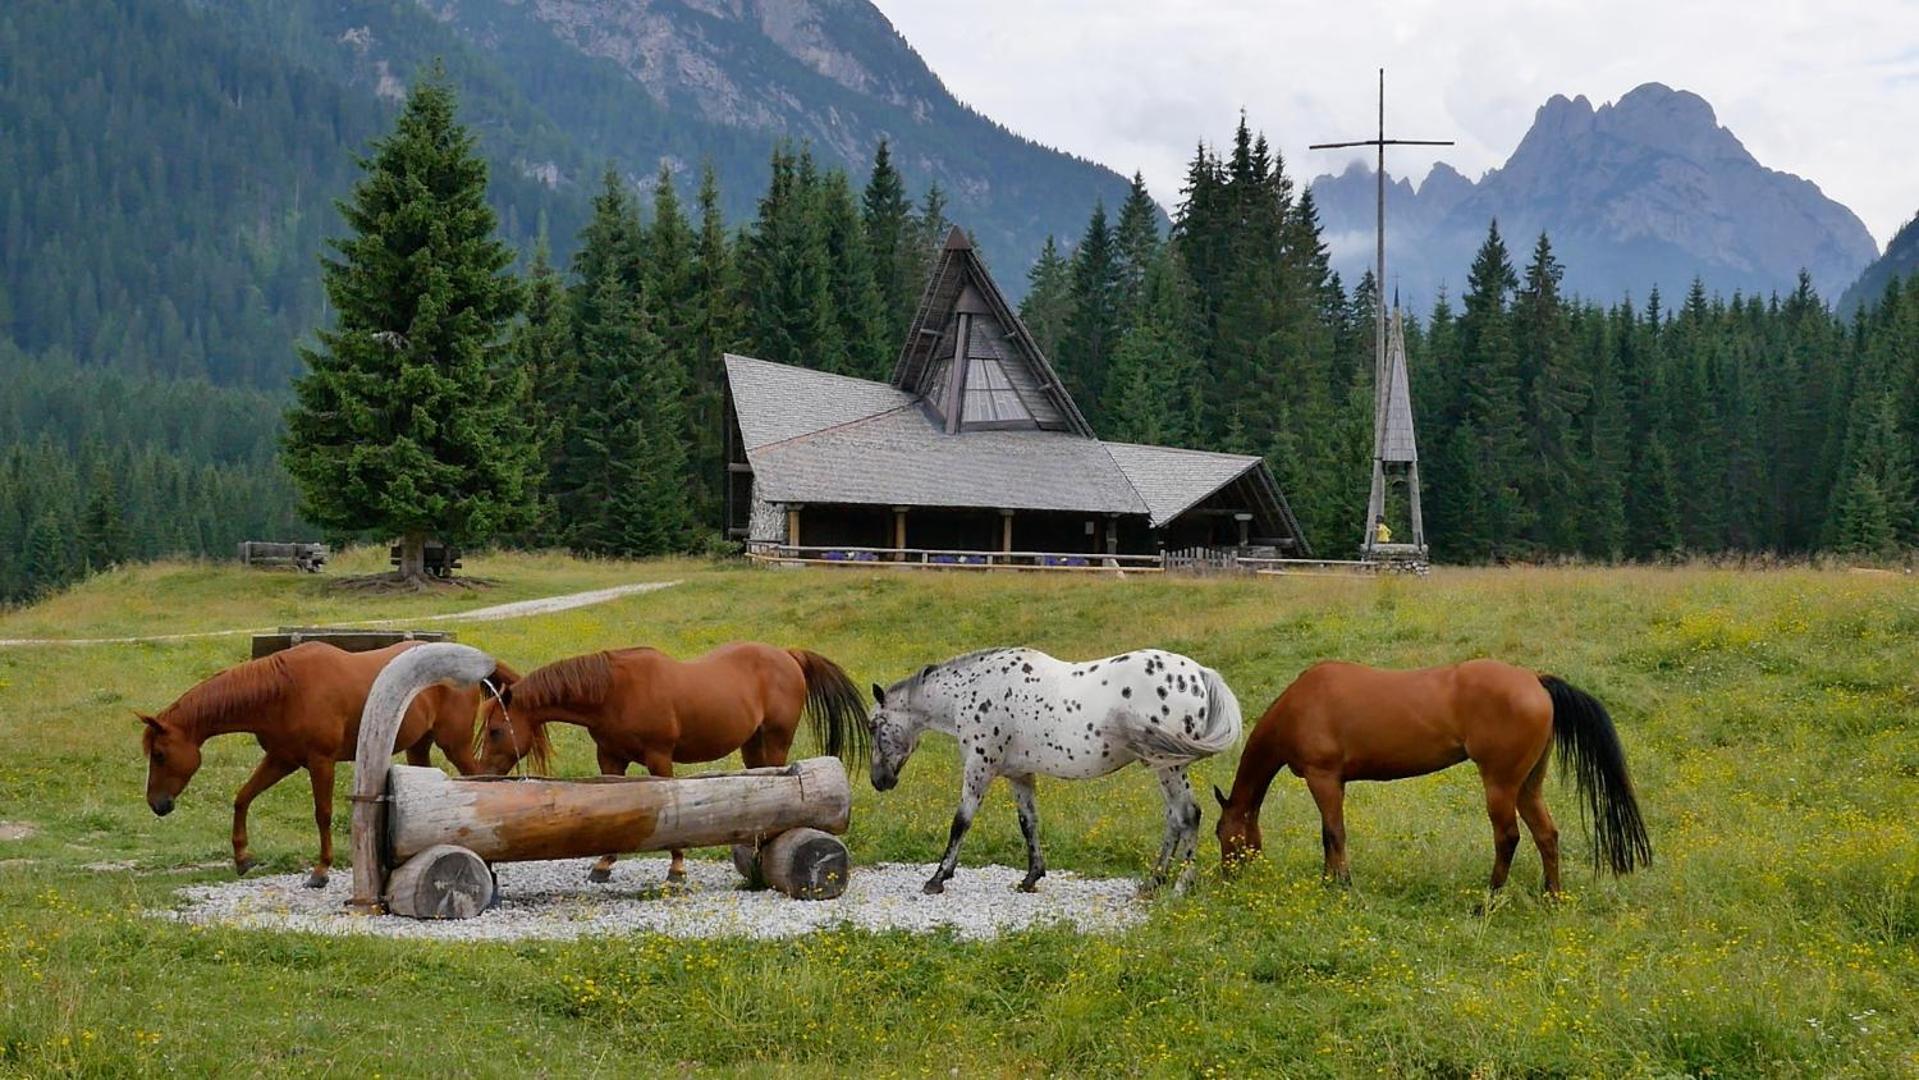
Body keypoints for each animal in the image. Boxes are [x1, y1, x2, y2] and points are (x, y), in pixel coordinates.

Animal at [139, 640, 514, 886]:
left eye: (160, 754)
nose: (157, 804)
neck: (284, 691)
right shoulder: (281, 759)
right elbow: (243, 798)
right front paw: (243, 858)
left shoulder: (321, 762)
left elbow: (323, 814)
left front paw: (320, 872)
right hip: (419, 748)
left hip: (455, 745)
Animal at [475, 648, 875, 882]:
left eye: (495, 730)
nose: (482, 773)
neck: (615, 692)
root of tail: (789, 656)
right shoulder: (610, 758)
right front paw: (603, 864)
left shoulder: (659, 757)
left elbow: (673, 807)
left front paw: (677, 869)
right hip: (753, 745)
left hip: (776, 740)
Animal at [871, 652, 1243, 897]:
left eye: (875, 726)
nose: (879, 781)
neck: (974, 689)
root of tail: (1199, 673)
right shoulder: (1019, 775)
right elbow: (1028, 823)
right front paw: (1031, 877)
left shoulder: (980, 766)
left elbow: (961, 821)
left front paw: (938, 878)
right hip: (1163, 766)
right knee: (1174, 819)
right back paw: (1153, 881)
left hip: (1170, 766)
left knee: (1188, 815)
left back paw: (1180, 885)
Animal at [1212, 659, 1650, 897]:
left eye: (1219, 833)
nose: (1227, 876)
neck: (1301, 705)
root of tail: (1535, 679)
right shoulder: (1333, 783)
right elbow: (1328, 834)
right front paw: (1328, 880)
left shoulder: (1324, 778)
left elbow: (1334, 833)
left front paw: (1341, 884)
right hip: (1529, 784)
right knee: (1546, 835)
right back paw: (1551, 896)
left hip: (1501, 785)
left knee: (1508, 837)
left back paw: (1487, 899)